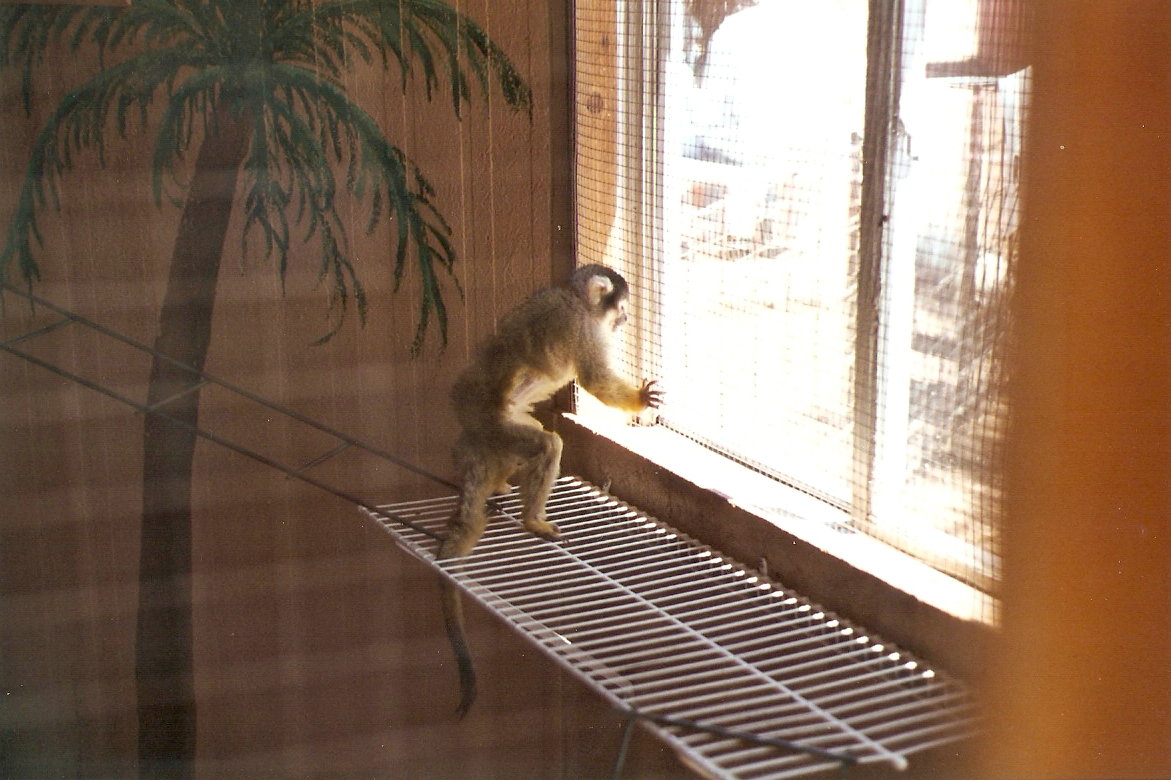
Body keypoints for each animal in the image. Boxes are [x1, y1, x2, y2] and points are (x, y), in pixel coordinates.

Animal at [436, 263, 662, 717]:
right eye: (622, 308)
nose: (626, 319)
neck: (576, 300)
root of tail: (472, 426)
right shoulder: (581, 327)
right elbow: (595, 379)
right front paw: (639, 400)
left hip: (494, 433)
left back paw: (502, 485)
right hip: (496, 425)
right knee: (546, 443)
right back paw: (532, 520)